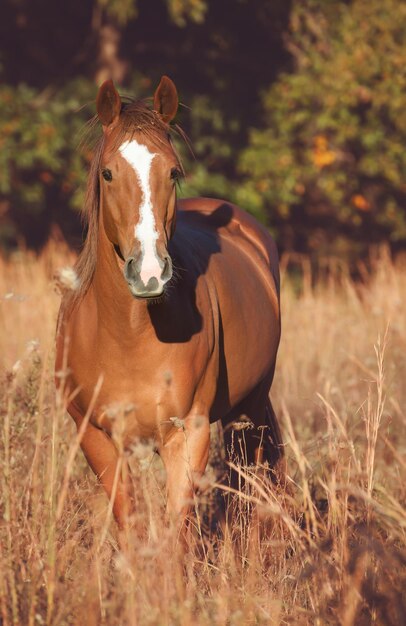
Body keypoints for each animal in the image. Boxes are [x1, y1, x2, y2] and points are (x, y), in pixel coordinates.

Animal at [55, 74, 284, 532]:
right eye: (107, 173)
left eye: (173, 172)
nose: (149, 272)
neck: (128, 334)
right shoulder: (97, 438)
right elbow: (130, 524)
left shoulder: (188, 433)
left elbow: (176, 531)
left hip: (248, 409)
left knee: (252, 482)